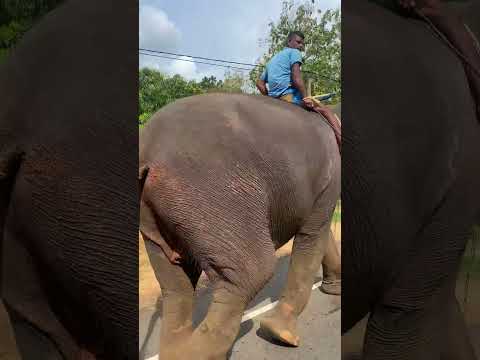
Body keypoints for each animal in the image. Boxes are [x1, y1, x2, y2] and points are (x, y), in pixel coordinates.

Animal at [139, 93, 342, 360]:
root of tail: (148, 152)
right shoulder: (329, 179)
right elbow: (313, 235)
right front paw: (281, 334)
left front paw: (334, 290)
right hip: (214, 196)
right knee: (251, 271)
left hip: (157, 214)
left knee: (175, 283)